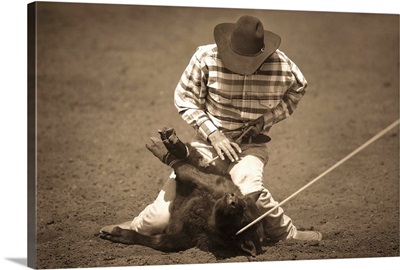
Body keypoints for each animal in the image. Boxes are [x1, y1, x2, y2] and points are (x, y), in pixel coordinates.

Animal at [99, 128, 264, 258]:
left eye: (243, 218)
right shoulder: (213, 186)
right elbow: (186, 171)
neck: (207, 215)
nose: (232, 197)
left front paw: (115, 234)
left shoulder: (184, 237)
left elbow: (158, 242)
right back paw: (172, 144)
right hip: (213, 177)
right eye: (243, 203)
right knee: (191, 161)